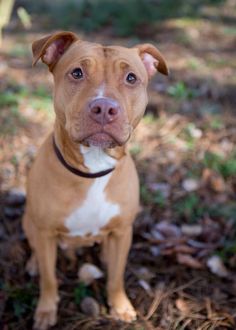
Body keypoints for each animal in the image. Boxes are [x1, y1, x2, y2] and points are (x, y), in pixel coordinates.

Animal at [23, 30, 168, 328]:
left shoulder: (123, 232)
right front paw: (45, 310)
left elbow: (116, 276)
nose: (103, 107)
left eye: (131, 78)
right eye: (77, 73)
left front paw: (120, 305)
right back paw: (32, 264)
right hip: (28, 220)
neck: (93, 168)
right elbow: (49, 278)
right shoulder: (44, 232)